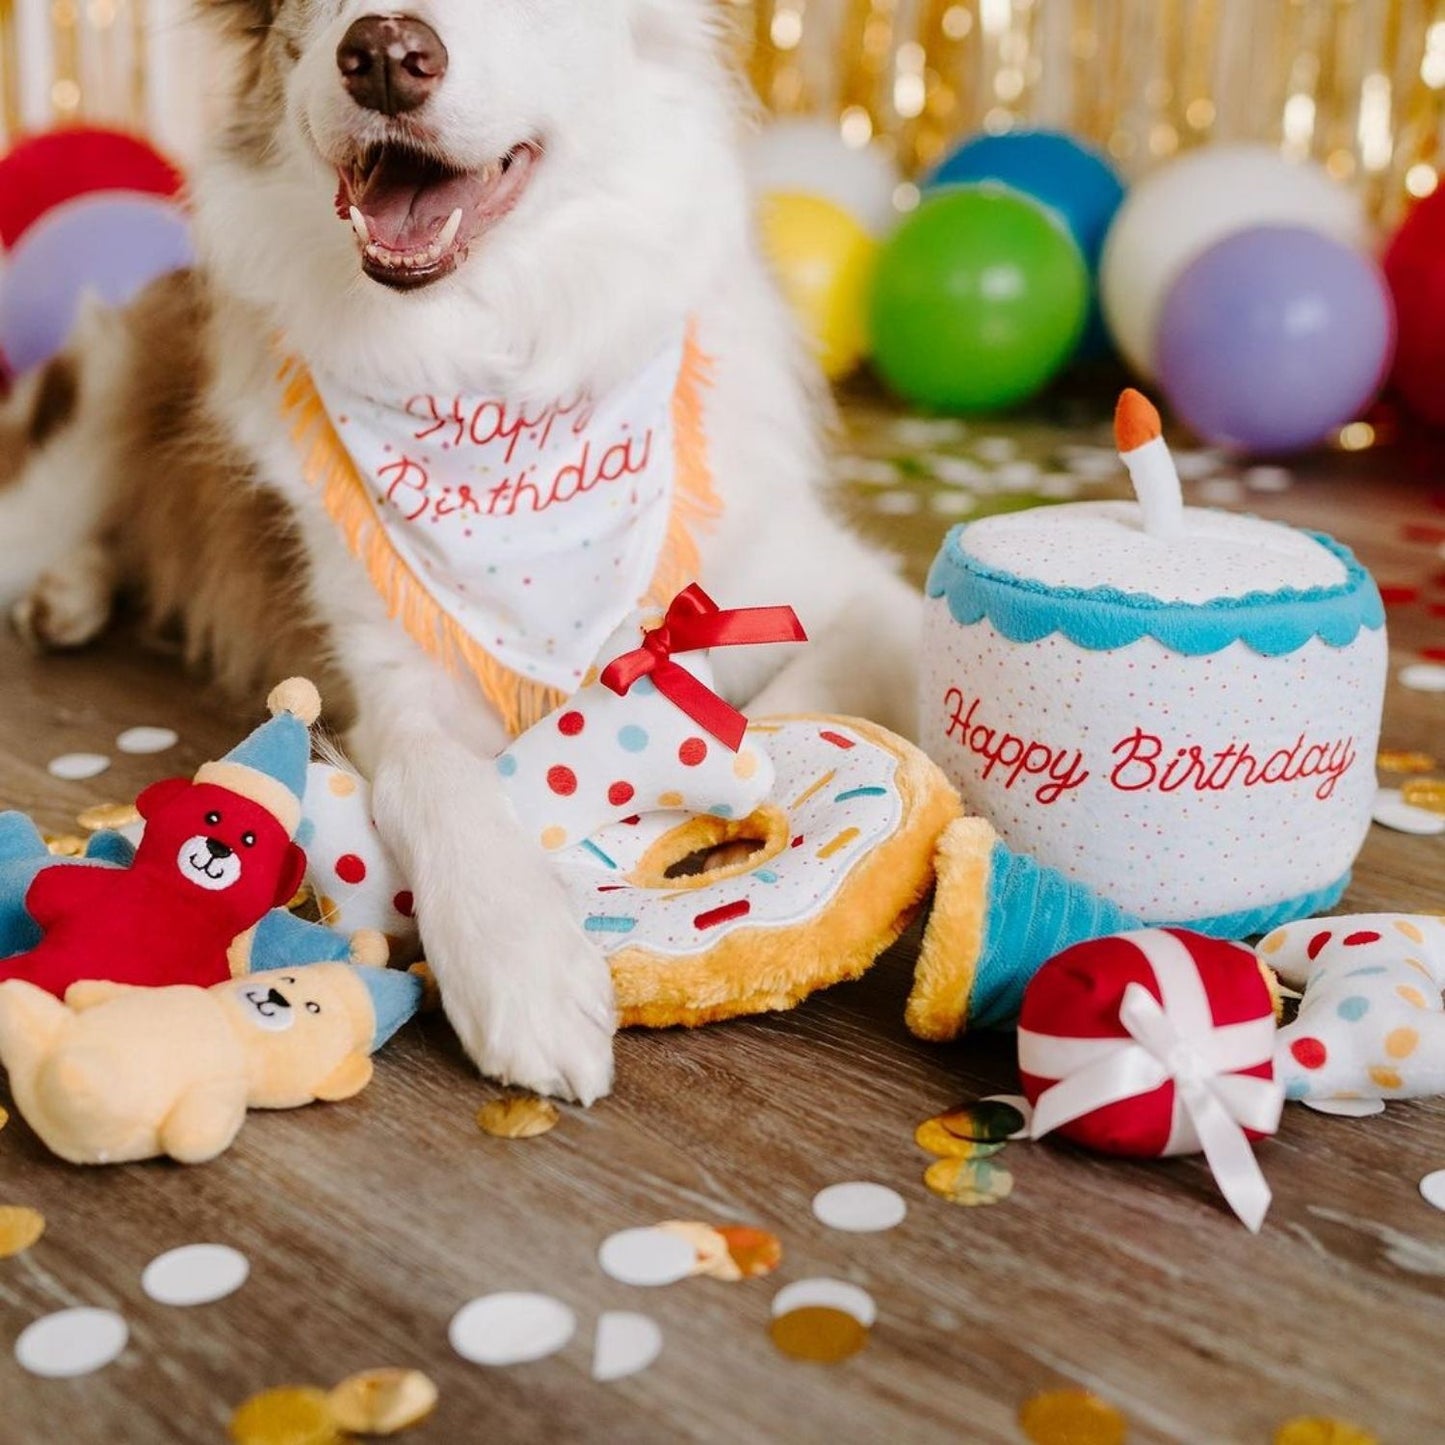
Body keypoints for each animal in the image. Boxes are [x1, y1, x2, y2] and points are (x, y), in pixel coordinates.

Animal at [0, 0, 919, 1098]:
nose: (384, 56)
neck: (492, 357)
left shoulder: (848, 588)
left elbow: (803, 705)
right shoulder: (391, 672)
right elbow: (438, 777)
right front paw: (525, 965)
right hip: (90, 411)